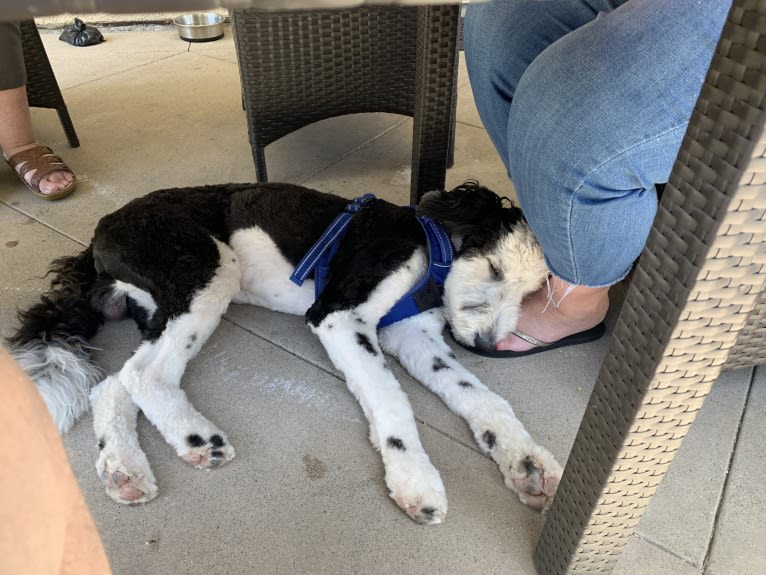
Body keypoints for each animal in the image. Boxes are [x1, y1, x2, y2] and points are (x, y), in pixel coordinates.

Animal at [9, 182, 564, 524]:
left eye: (531, 292)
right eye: (493, 269)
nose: (487, 346)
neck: (432, 250)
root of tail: (98, 234)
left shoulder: (414, 337)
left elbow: (482, 398)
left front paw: (527, 463)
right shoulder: (339, 315)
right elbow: (390, 399)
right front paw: (415, 478)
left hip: (163, 303)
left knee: (115, 381)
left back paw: (124, 469)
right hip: (206, 267)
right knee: (146, 375)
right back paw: (195, 438)